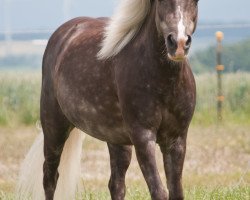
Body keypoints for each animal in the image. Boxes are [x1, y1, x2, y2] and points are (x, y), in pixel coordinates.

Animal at [17, 0, 199, 200]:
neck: (163, 80)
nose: (179, 43)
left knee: (116, 185)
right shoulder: (143, 137)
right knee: (50, 177)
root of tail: (63, 34)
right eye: (161, 2)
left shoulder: (177, 139)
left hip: (117, 141)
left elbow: (176, 192)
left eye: (195, 2)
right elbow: (158, 191)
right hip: (54, 127)